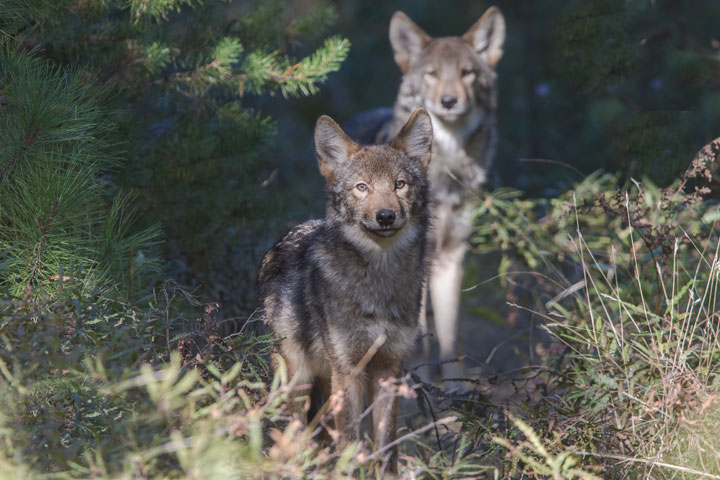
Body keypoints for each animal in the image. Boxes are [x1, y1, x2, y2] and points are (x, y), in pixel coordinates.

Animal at [258, 109, 433, 472]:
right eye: (362, 187)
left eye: (399, 184)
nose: (385, 216)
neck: (379, 280)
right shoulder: (348, 370)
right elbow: (351, 441)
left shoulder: (388, 369)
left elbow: (387, 447)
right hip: (298, 382)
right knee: (295, 437)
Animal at [375, 7, 506, 384]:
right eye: (432, 74)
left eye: (467, 73)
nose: (449, 101)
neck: (447, 173)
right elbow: (417, 340)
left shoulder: (451, 257)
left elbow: (451, 338)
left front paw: (455, 390)